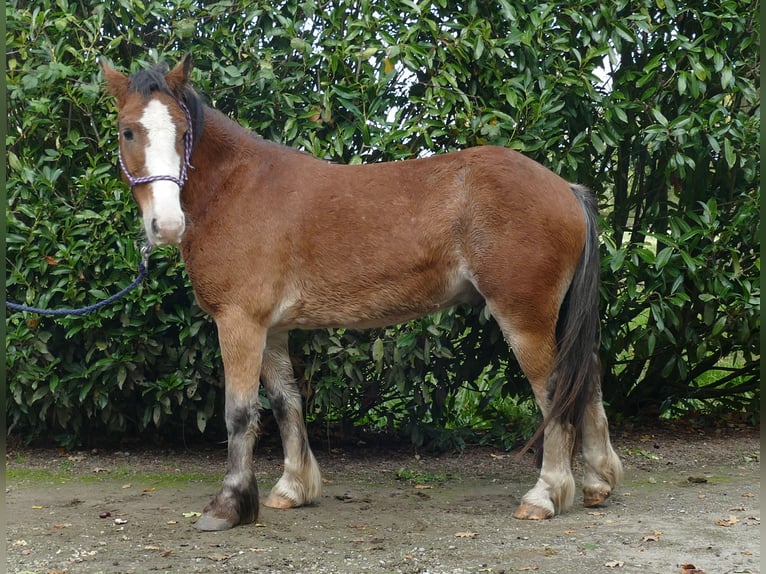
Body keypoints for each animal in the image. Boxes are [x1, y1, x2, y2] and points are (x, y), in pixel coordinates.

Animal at [99, 56, 624, 532]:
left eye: (183, 134)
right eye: (128, 132)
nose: (166, 225)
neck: (237, 186)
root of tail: (565, 188)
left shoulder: (239, 321)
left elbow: (240, 414)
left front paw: (228, 506)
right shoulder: (271, 328)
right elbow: (287, 402)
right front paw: (293, 489)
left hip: (524, 316)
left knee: (554, 393)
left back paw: (546, 495)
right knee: (589, 383)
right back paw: (598, 483)